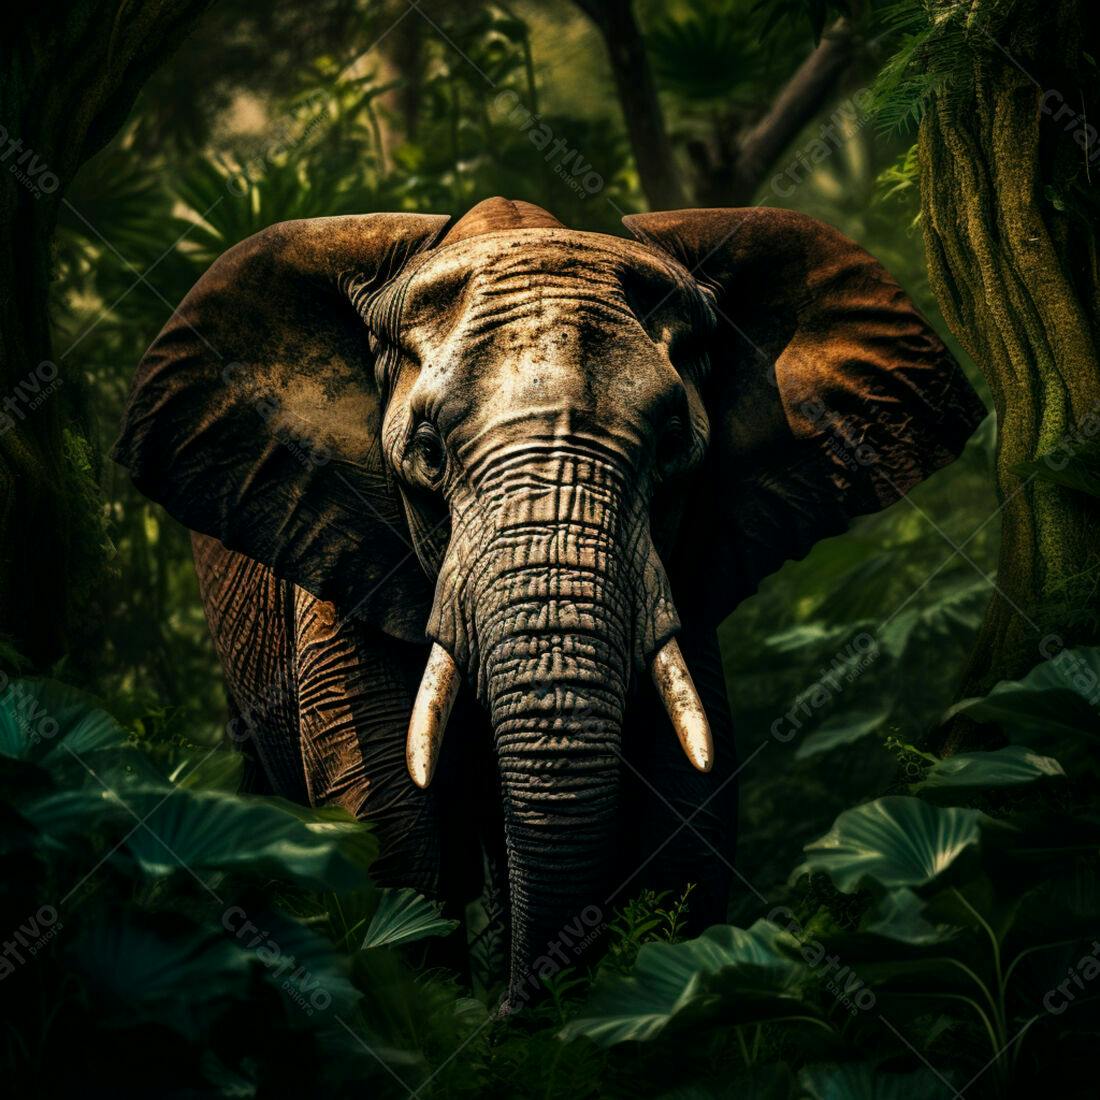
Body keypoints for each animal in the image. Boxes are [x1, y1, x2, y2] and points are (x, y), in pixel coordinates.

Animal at [114, 196, 985, 1008]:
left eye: (674, 444)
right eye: (427, 453)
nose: (513, 1008)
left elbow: (685, 832)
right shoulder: (338, 542)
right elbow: (388, 836)